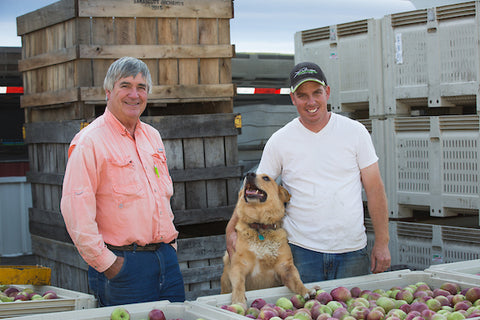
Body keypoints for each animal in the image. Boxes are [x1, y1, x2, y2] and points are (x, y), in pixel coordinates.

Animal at [220, 172, 314, 304]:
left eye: (266, 178)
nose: (249, 174)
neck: (260, 227)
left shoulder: (285, 267)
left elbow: (297, 281)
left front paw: (306, 290)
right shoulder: (239, 266)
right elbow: (238, 285)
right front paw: (238, 299)